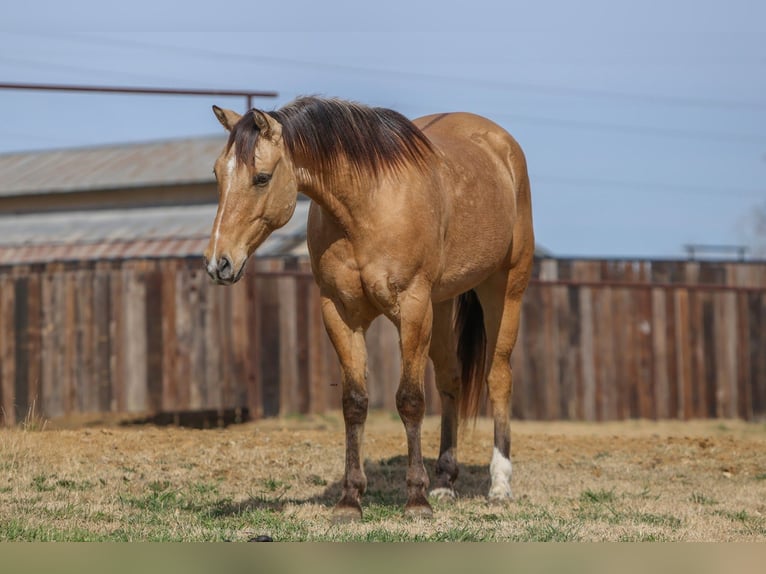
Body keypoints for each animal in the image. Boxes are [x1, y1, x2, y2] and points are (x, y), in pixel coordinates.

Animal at [204, 96, 534, 520]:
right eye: (217, 174)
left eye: (261, 178)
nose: (219, 263)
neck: (366, 208)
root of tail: (502, 145)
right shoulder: (340, 313)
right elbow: (355, 403)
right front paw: (350, 499)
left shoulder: (412, 309)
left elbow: (410, 401)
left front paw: (416, 500)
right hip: (442, 304)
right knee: (450, 382)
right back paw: (445, 482)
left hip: (504, 289)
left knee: (499, 377)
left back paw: (499, 485)